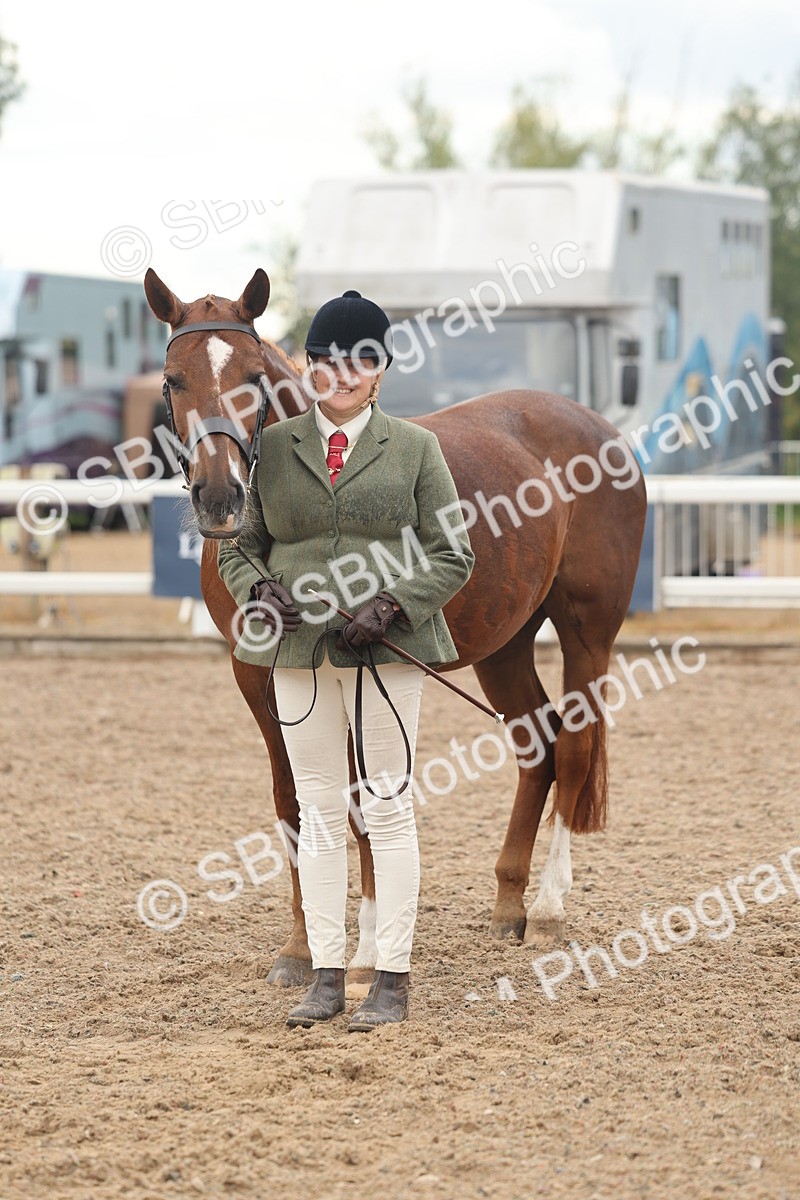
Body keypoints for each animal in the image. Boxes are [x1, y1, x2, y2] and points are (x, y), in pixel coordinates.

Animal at [144, 266, 647, 996]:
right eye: (171, 381)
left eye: (253, 379)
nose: (219, 498)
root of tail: (598, 429)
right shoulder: (258, 674)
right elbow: (293, 803)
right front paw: (301, 948)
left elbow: (359, 800)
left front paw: (363, 949)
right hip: (505, 646)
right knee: (539, 747)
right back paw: (508, 904)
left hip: (588, 631)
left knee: (576, 749)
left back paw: (550, 908)